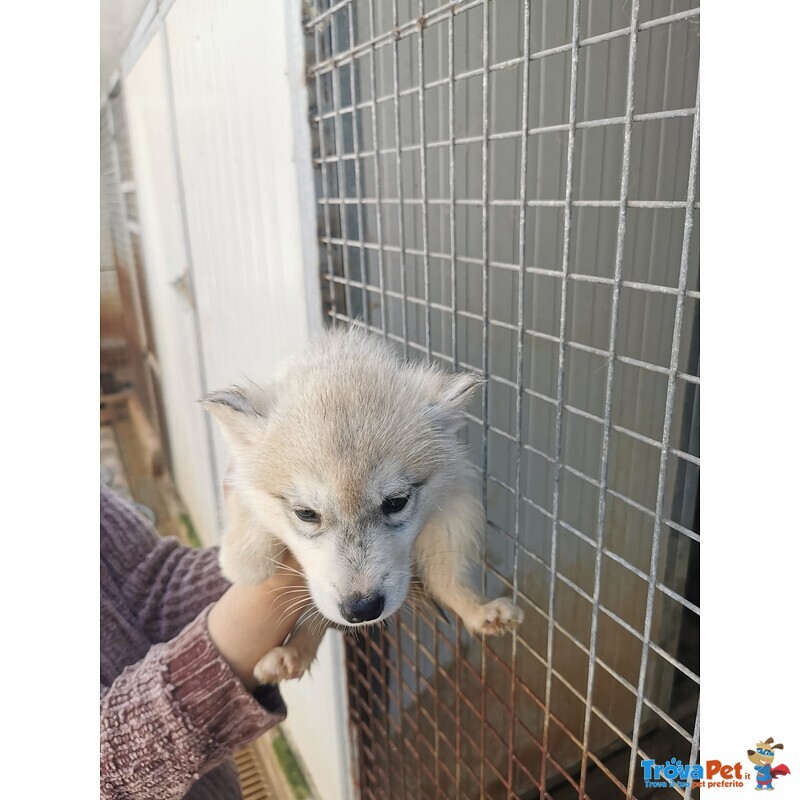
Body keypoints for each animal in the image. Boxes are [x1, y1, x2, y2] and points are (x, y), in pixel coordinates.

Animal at [203, 324, 520, 680]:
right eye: (306, 513)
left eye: (396, 502)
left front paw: (476, 609)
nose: (363, 610)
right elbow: (247, 525)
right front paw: (246, 559)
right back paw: (291, 655)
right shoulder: (239, 478)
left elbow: (448, 578)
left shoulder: (453, 509)